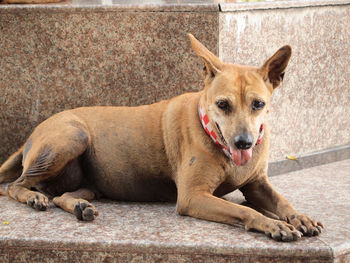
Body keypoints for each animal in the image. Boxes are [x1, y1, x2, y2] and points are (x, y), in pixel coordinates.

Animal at [0, 34, 322, 242]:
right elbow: (243, 210)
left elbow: (282, 201)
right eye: (223, 104)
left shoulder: (257, 184)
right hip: (71, 137)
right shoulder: (193, 197)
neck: (212, 133)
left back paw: (79, 206)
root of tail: (33, 133)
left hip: (89, 183)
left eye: (258, 104)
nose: (244, 142)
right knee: (13, 186)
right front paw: (270, 223)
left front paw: (298, 216)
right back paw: (33, 197)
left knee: (62, 196)